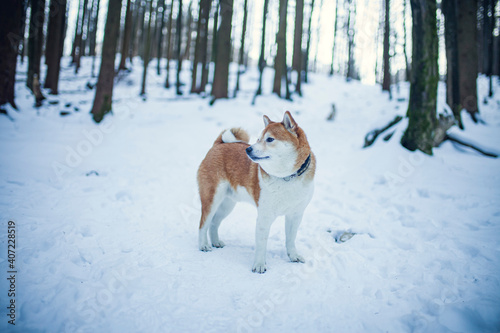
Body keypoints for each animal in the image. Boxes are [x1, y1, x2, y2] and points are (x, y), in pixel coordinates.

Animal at [196, 111, 316, 272]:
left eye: (269, 139)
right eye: (258, 139)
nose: (248, 149)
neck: (286, 177)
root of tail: (219, 144)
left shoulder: (295, 215)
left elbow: (291, 239)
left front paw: (293, 256)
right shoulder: (264, 217)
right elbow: (261, 244)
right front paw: (259, 265)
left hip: (227, 204)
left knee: (214, 223)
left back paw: (215, 242)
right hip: (212, 199)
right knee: (203, 224)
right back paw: (203, 245)